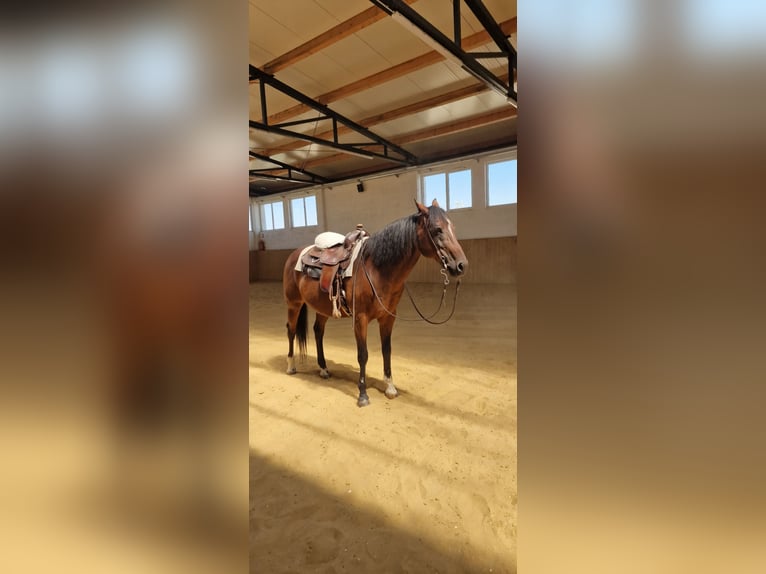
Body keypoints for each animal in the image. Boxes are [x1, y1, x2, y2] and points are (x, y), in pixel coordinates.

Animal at [282, 199, 468, 407]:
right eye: (437, 229)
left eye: (452, 227)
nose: (461, 265)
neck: (377, 269)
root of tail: (296, 254)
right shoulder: (360, 319)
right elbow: (363, 355)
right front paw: (363, 394)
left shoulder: (388, 317)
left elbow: (386, 350)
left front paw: (390, 387)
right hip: (294, 303)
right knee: (291, 330)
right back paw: (291, 366)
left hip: (323, 308)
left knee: (318, 332)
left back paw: (323, 369)